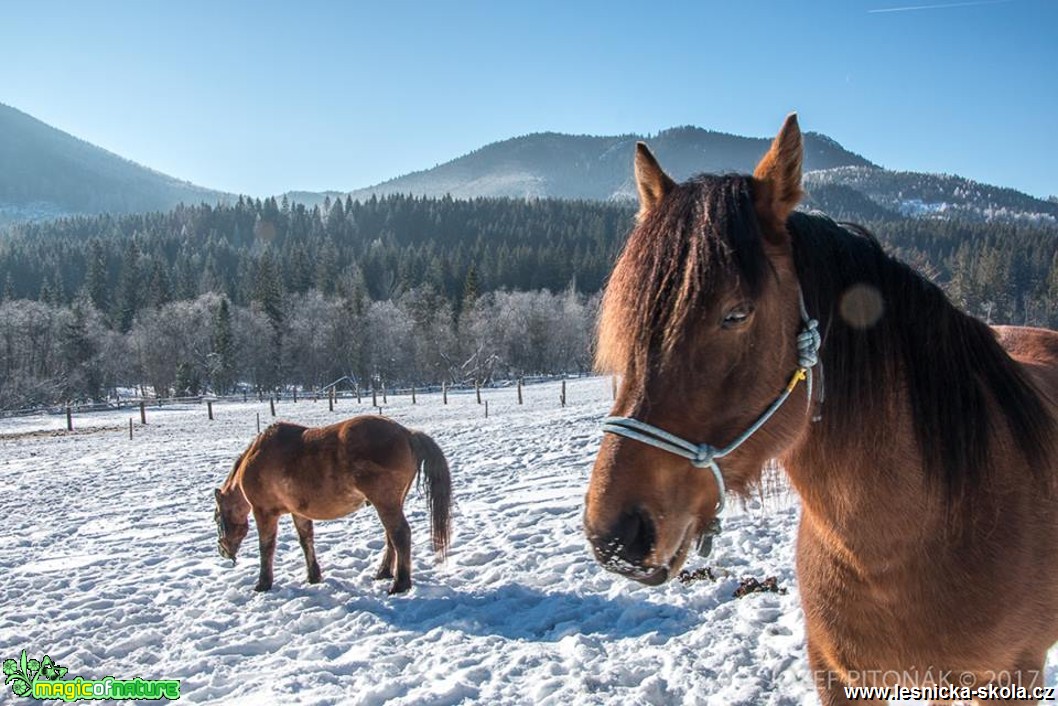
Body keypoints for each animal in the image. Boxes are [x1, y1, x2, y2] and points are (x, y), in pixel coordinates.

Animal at [214, 417, 450, 592]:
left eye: (217, 519)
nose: (222, 550)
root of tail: (407, 433)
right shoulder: (299, 512)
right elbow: (306, 541)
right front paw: (313, 576)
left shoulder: (265, 513)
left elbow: (266, 547)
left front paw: (263, 583)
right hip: (392, 503)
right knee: (391, 536)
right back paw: (383, 572)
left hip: (385, 503)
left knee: (400, 535)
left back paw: (400, 584)